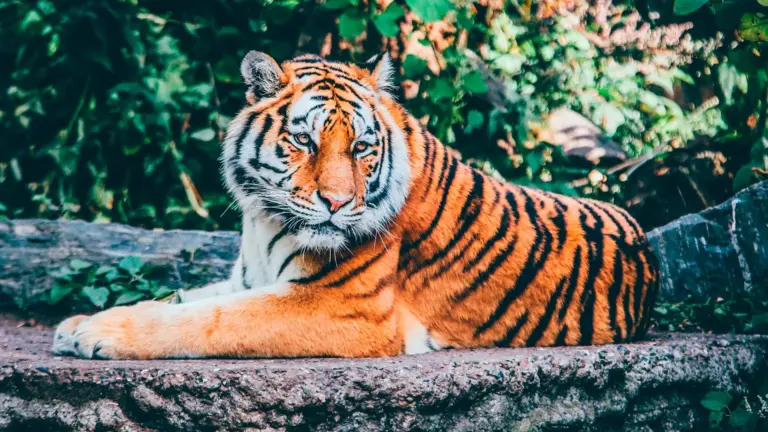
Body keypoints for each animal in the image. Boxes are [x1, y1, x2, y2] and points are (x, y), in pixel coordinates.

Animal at [52, 51, 659, 359]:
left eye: (363, 148)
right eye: (305, 141)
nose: (338, 203)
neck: (262, 219)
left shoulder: (342, 307)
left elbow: (206, 320)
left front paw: (98, 334)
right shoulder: (247, 279)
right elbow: (180, 299)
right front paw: (79, 323)